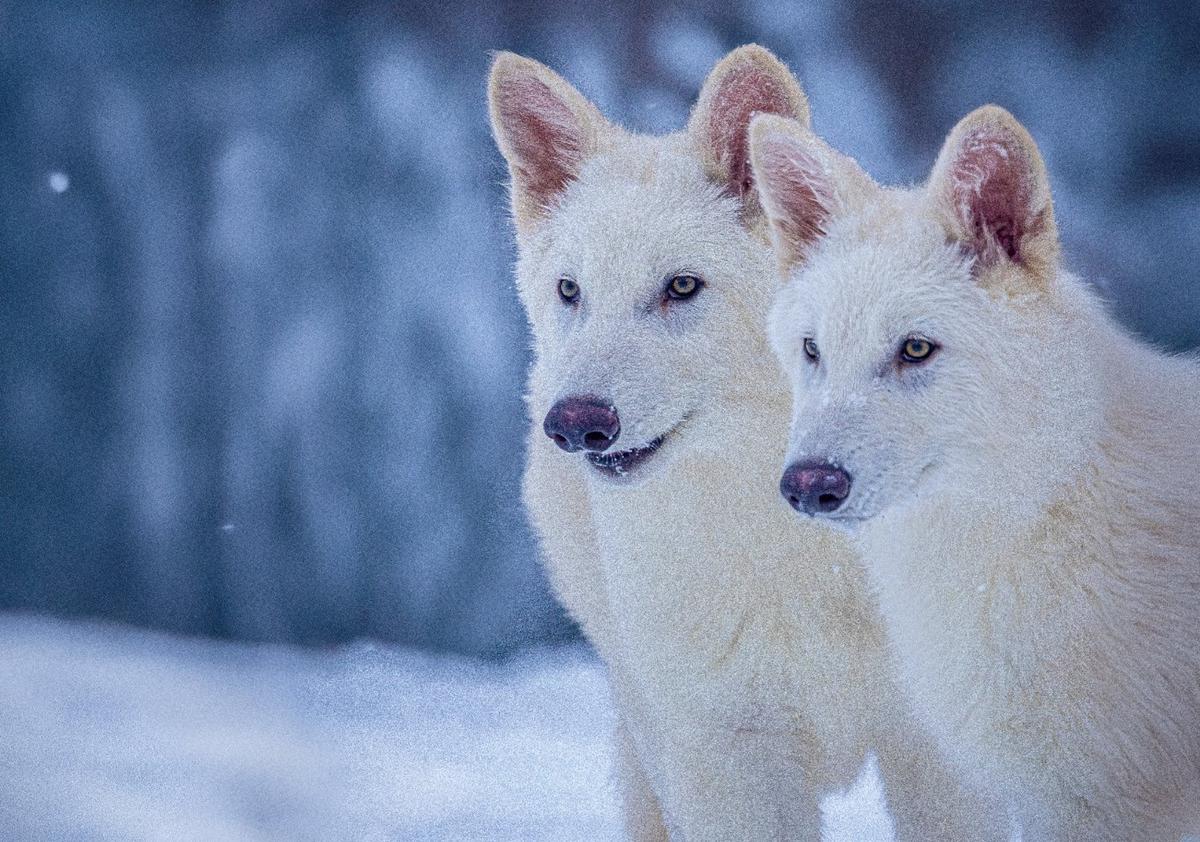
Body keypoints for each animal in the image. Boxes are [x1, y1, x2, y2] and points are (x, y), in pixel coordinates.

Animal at [488, 46, 1004, 840]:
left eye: (682, 286)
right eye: (571, 291)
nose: (575, 422)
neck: (796, 551)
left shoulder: (936, 749)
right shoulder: (724, 757)